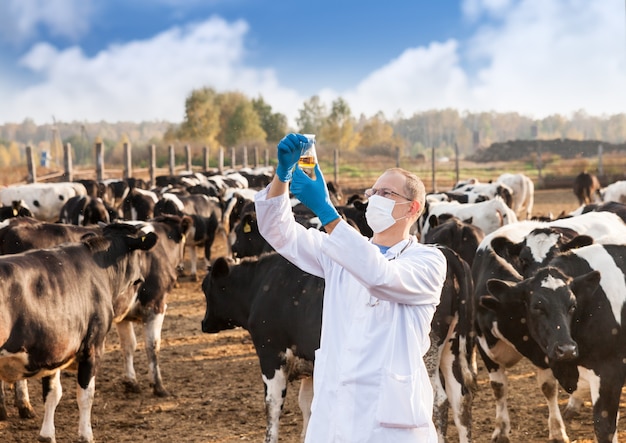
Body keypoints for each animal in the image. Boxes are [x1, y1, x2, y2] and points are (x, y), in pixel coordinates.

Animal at [0, 224, 157, 442]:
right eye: (139, 255)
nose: (141, 278)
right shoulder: (92, 347)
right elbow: (85, 395)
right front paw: (86, 435)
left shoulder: (53, 348)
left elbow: (52, 393)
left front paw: (47, 435)